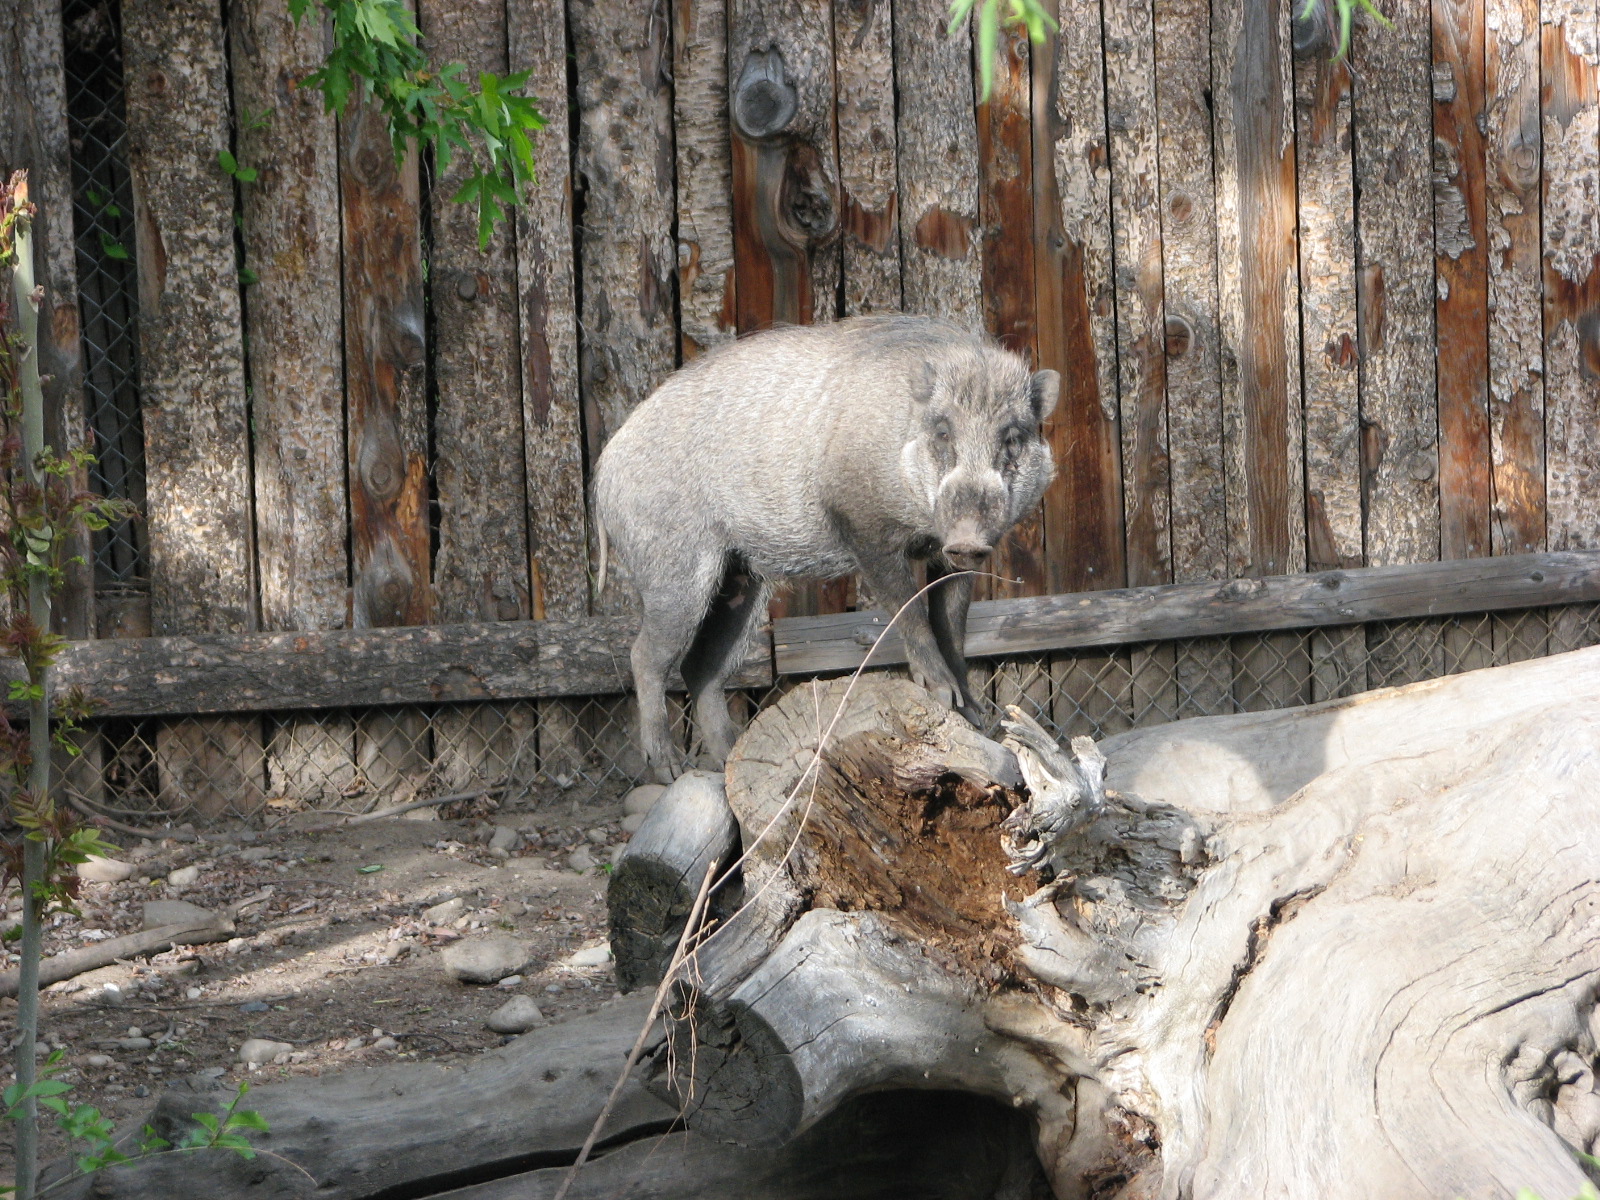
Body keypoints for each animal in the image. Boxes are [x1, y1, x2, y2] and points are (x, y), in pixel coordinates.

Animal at [594, 314, 1059, 782]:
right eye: (943, 431)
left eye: (1013, 438)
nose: (967, 538)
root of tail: (604, 468)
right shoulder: (864, 527)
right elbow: (909, 610)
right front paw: (942, 696)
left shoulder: (951, 560)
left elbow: (952, 624)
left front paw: (971, 714)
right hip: (674, 570)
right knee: (645, 656)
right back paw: (669, 769)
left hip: (740, 582)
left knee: (701, 667)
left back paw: (729, 759)